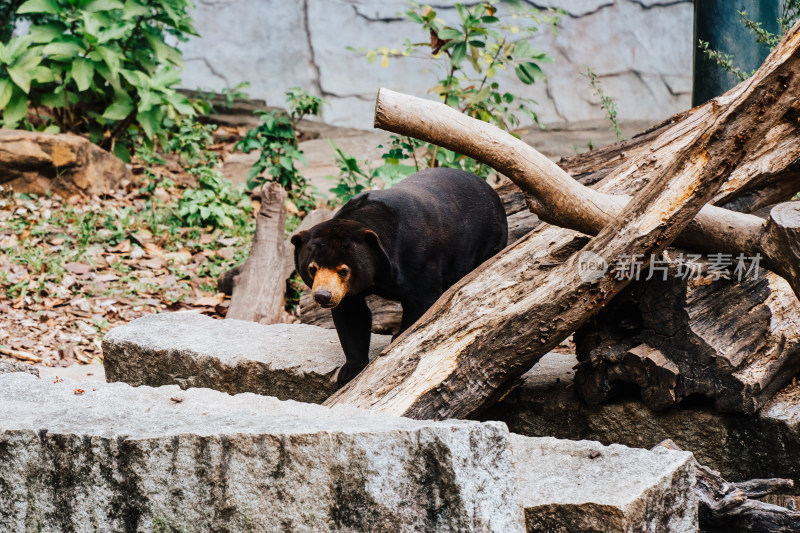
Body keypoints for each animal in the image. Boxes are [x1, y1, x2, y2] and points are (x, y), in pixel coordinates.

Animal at [292, 167, 506, 386]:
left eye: (343, 270)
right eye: (312, 268)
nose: (323, 296)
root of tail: (488, 187)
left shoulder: (418, 260)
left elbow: (422, 303)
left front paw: (399, 338)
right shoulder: (349, 291)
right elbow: (351, 314)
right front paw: (350, 370)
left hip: (488, 240)